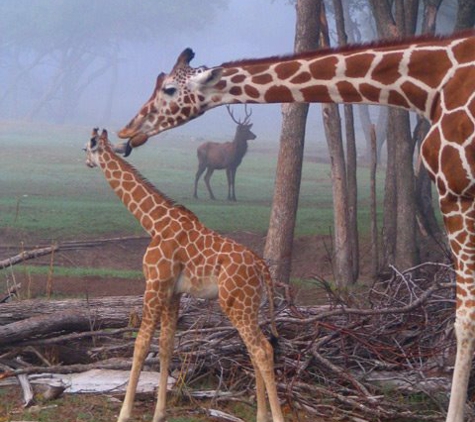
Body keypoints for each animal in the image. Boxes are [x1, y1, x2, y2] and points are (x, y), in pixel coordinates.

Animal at [84, 129, 284, 422]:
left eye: (87, 148)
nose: (86, 162)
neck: (154, 222)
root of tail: (262, 267)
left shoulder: (154, 284)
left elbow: (141, 345)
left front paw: (124, 413)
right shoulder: (173, 291)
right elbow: (166, 345)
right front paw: (159, 414)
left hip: (235, 303)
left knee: (262, 349)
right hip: (250, 305)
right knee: (256, 348)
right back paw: (261, 415)